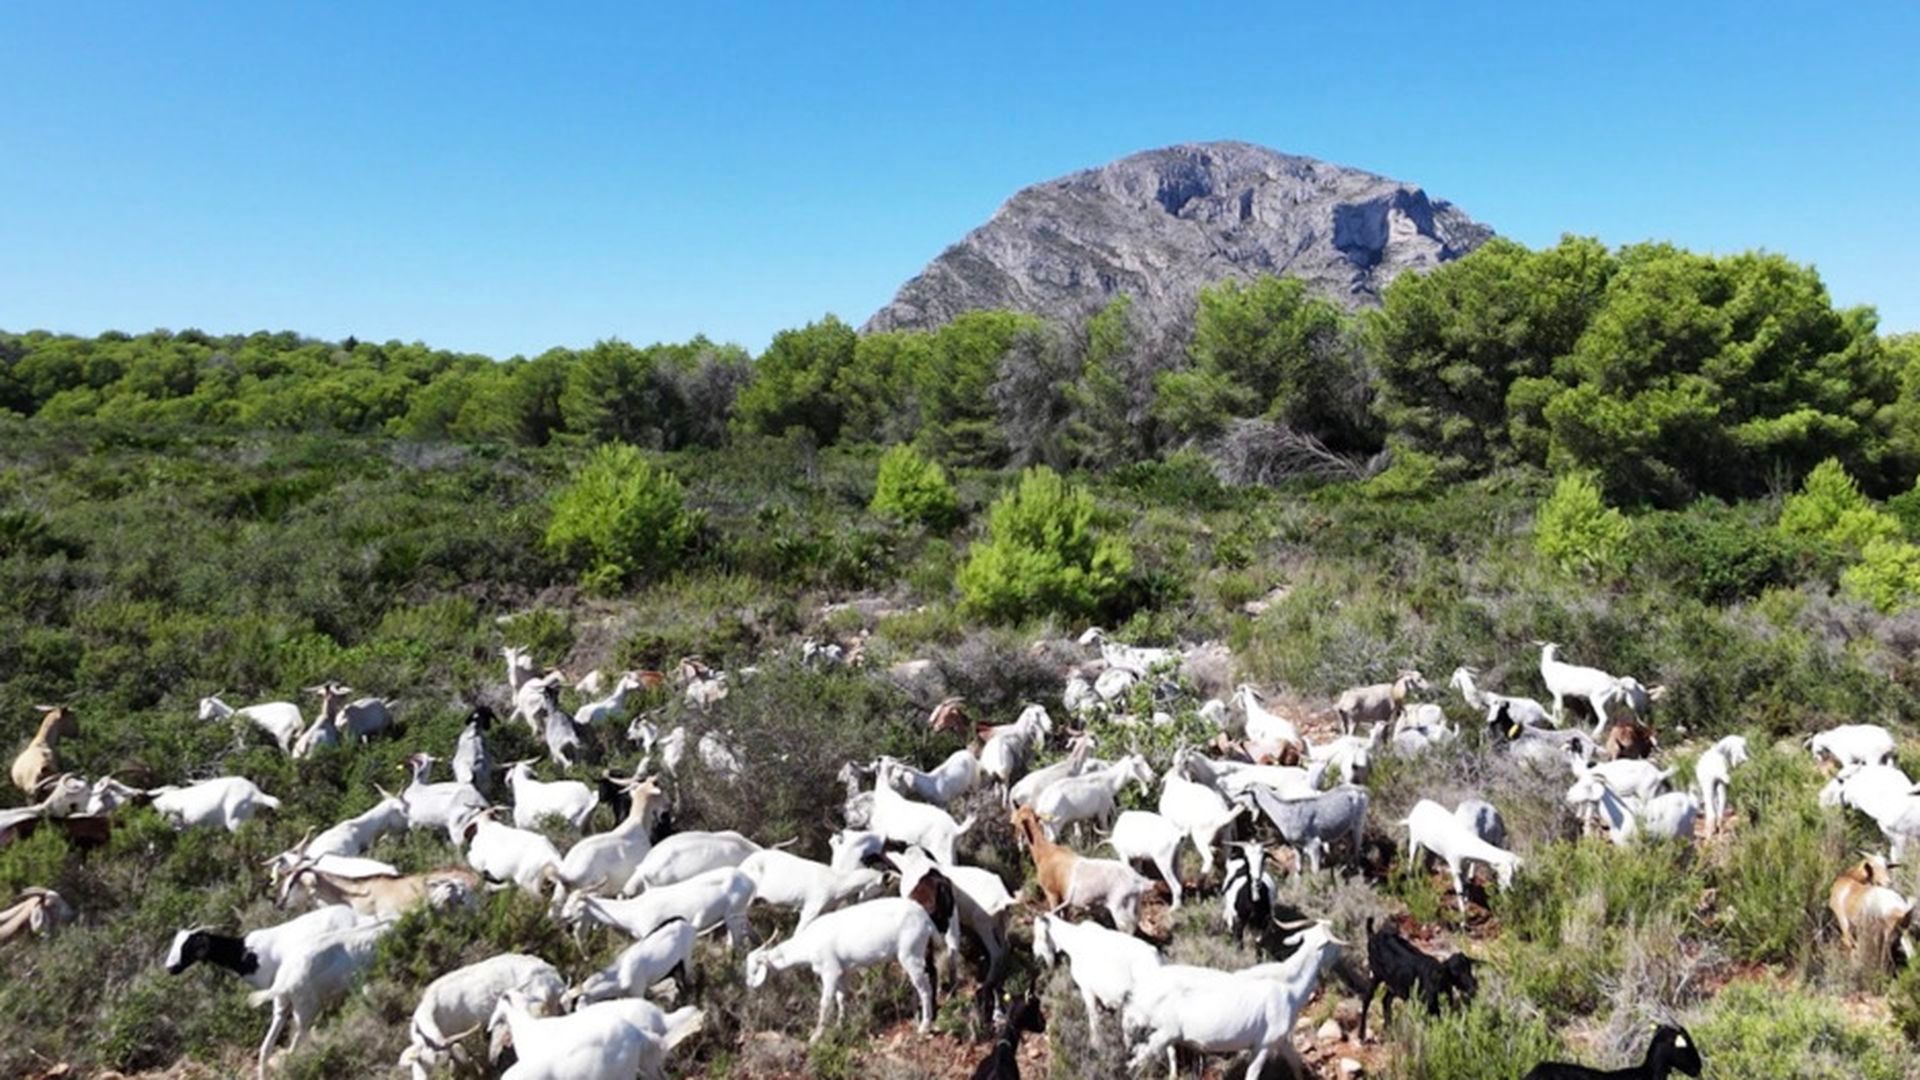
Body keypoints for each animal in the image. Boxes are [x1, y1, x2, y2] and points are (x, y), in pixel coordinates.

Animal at [744, 896, 940, 1041]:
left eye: (753, 969)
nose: (748, 985)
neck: (809, 943)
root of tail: (925, 918)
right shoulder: (842, 972)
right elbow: (841, 998)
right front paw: (840, 1025)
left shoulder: (830, 971)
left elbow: (825, 1003)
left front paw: (816, 1036)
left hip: (911, 954)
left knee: (925, 986)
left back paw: (924, 1025)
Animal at [1010, 805, 1148, 934]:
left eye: (1016, 820)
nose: (1015, 836)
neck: (1046, 852)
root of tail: (1139, 882)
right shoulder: (1063, 897)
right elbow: (1065, 917)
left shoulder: (1052, 893)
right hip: (1134, 909)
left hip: (1122, 911)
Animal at [1030, 912, 1161, 1049]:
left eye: (1036, 934)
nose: (1035, 952)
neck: (1073, 941)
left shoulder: (1087, 989)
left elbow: (1093, 1016)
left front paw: (1095, 1043)